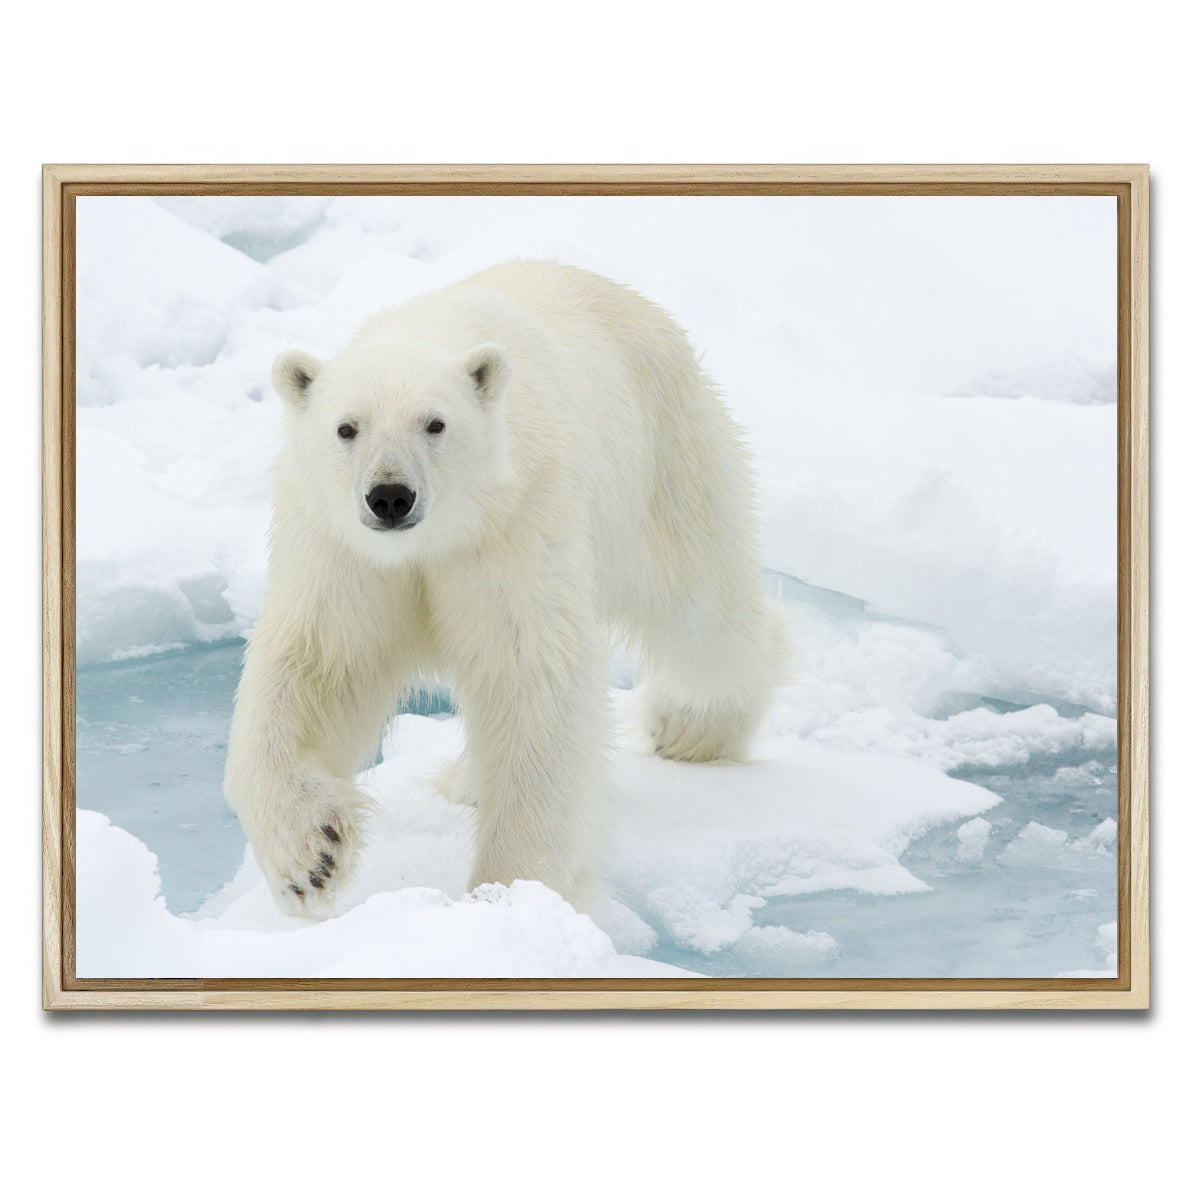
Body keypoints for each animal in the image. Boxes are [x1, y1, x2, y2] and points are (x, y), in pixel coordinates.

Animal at [224, 259, 787, 916]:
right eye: (346, 428)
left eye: (435, 423)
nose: (390, 496)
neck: (435, 539)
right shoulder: (342, 550)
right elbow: (317, 664)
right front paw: (310, 856)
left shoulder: (516, 520)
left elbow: (531, 671)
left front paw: (512, 890)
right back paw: (469, 780)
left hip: (664, 459)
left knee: (699, 608)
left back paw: (690, 728)